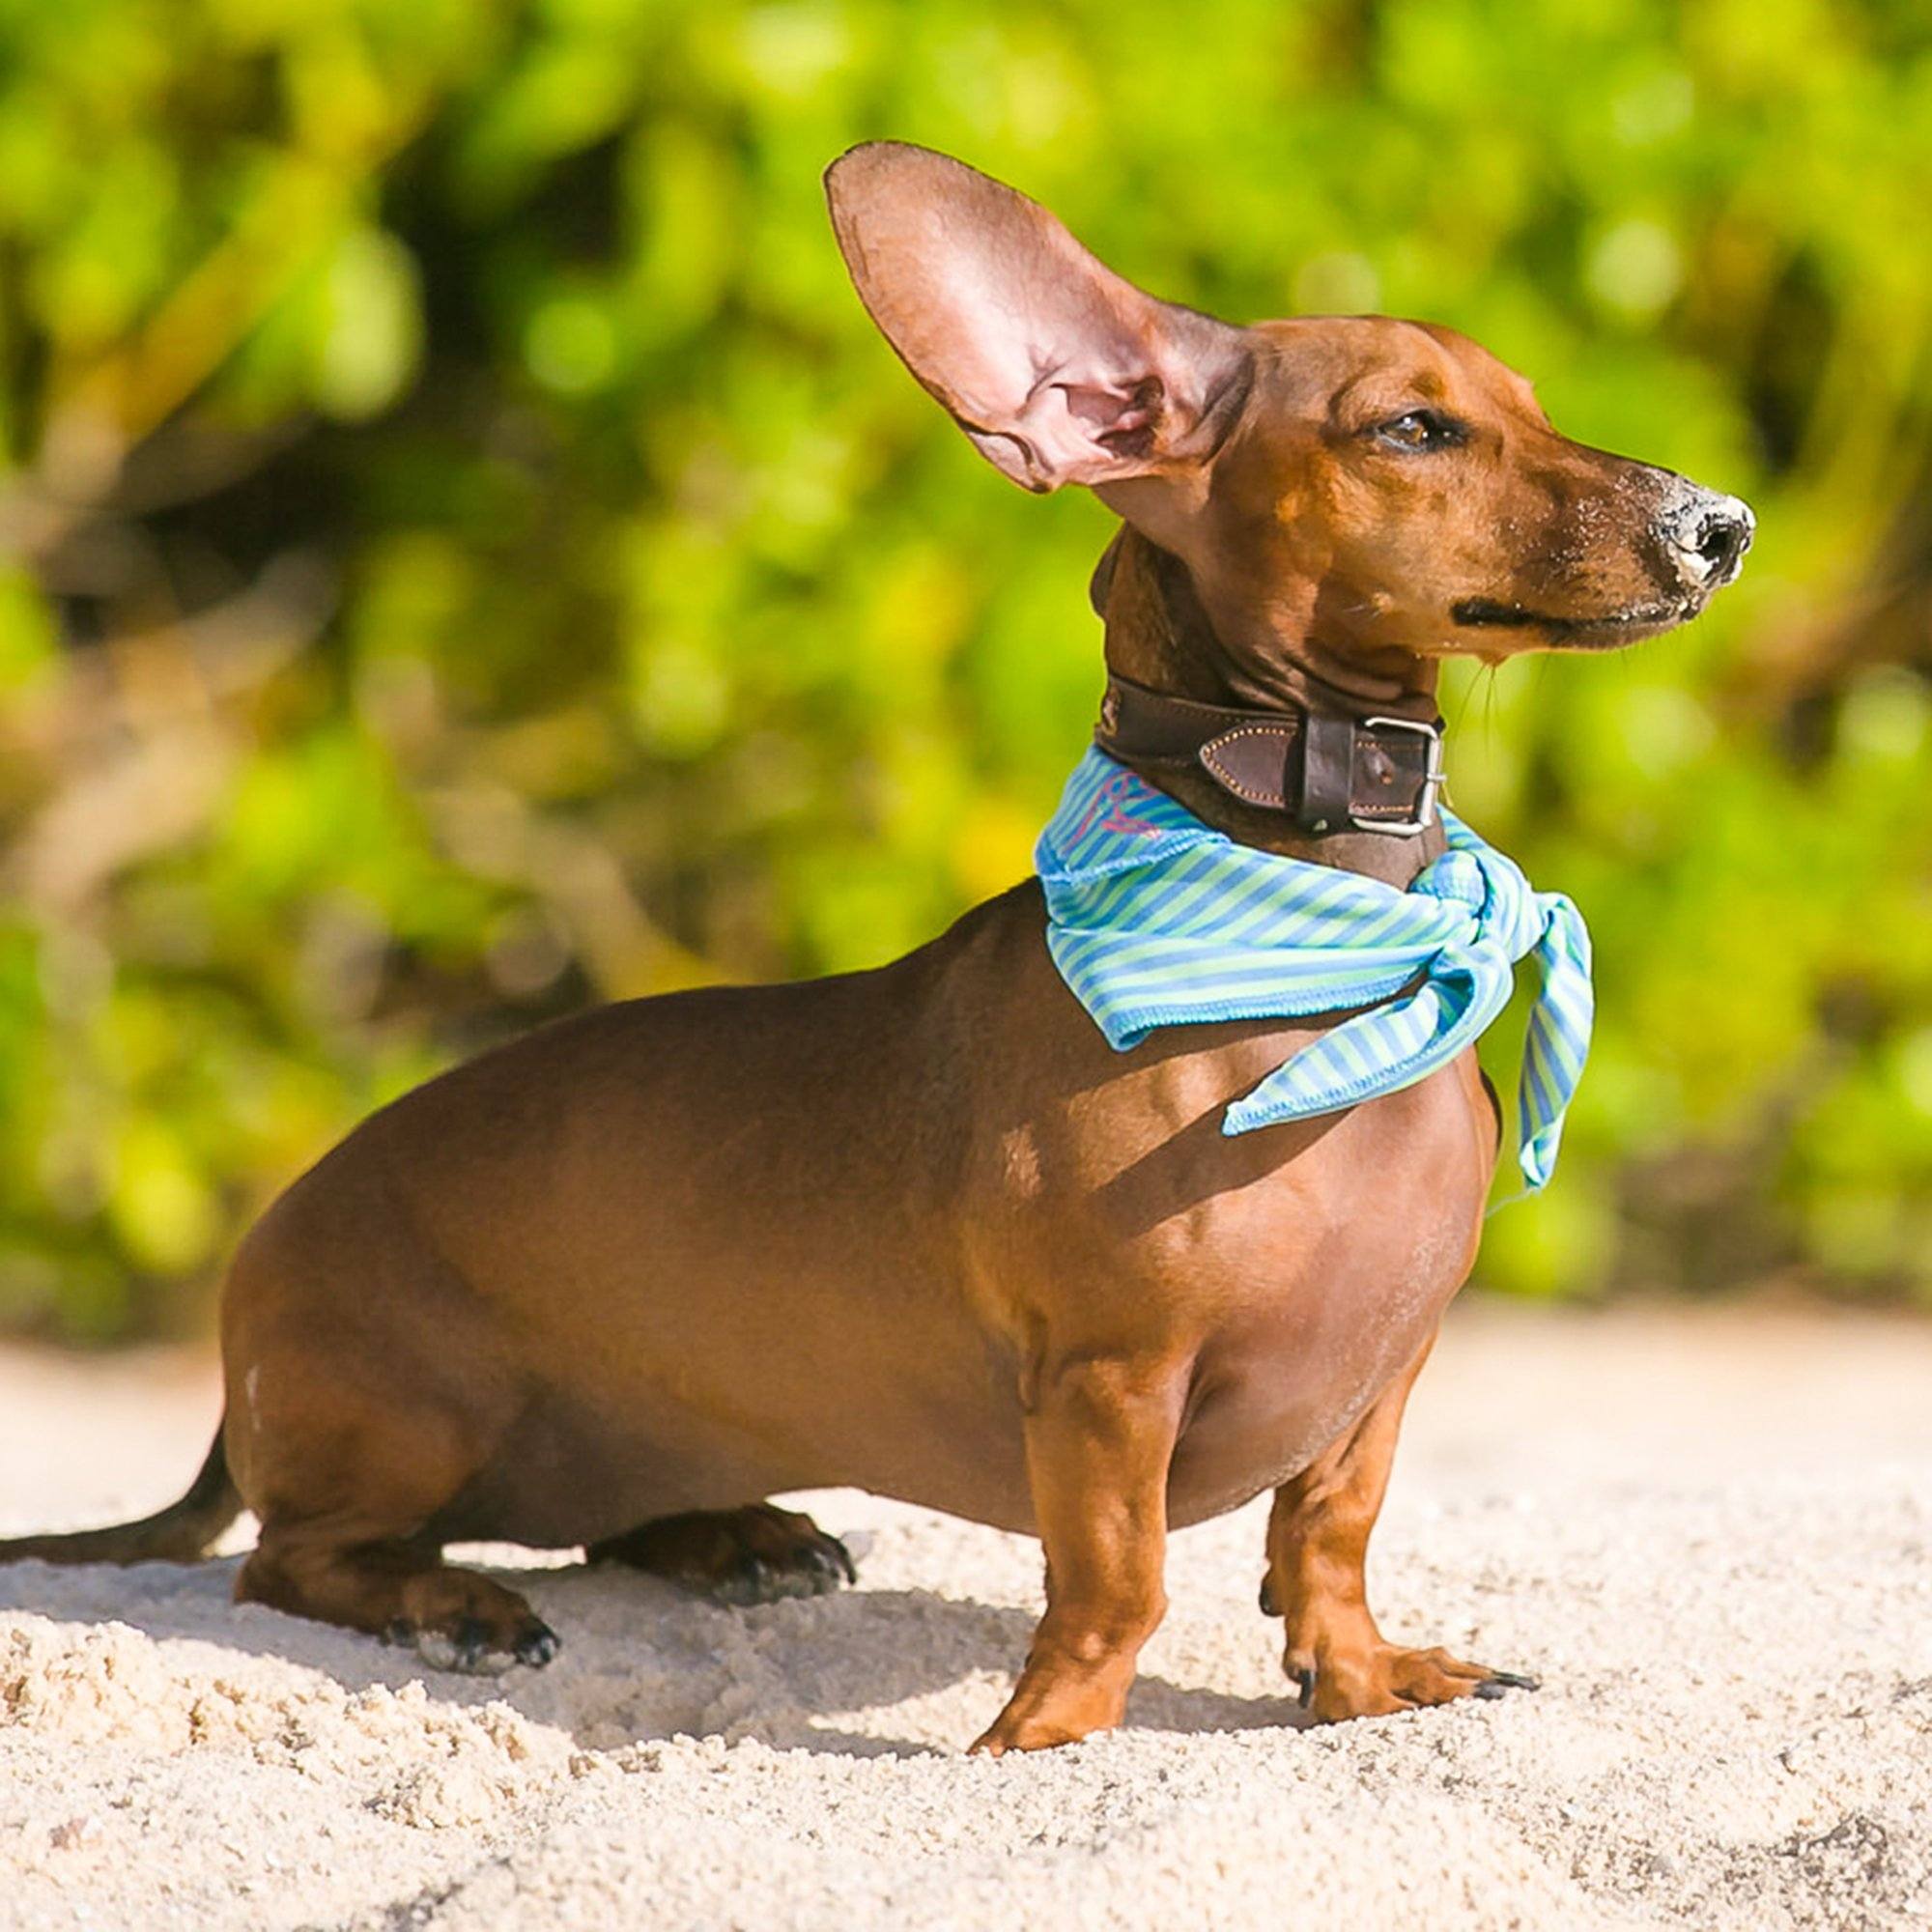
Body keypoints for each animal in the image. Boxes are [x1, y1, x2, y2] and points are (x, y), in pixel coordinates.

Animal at [0, 147, 1754, 1754]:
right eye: (1412, 428)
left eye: (1528, 402)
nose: (1722, 524)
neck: (1314, 938)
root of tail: (261, 1258)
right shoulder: (1108, 1383)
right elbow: (1114, 1583)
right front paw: (1043, 1740)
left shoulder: (1378, 1388)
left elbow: (1329, 1541)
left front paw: (1364, 1679)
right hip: (411, 1419)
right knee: (292, 1563)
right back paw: (458, 1606)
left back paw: (731, 1534)